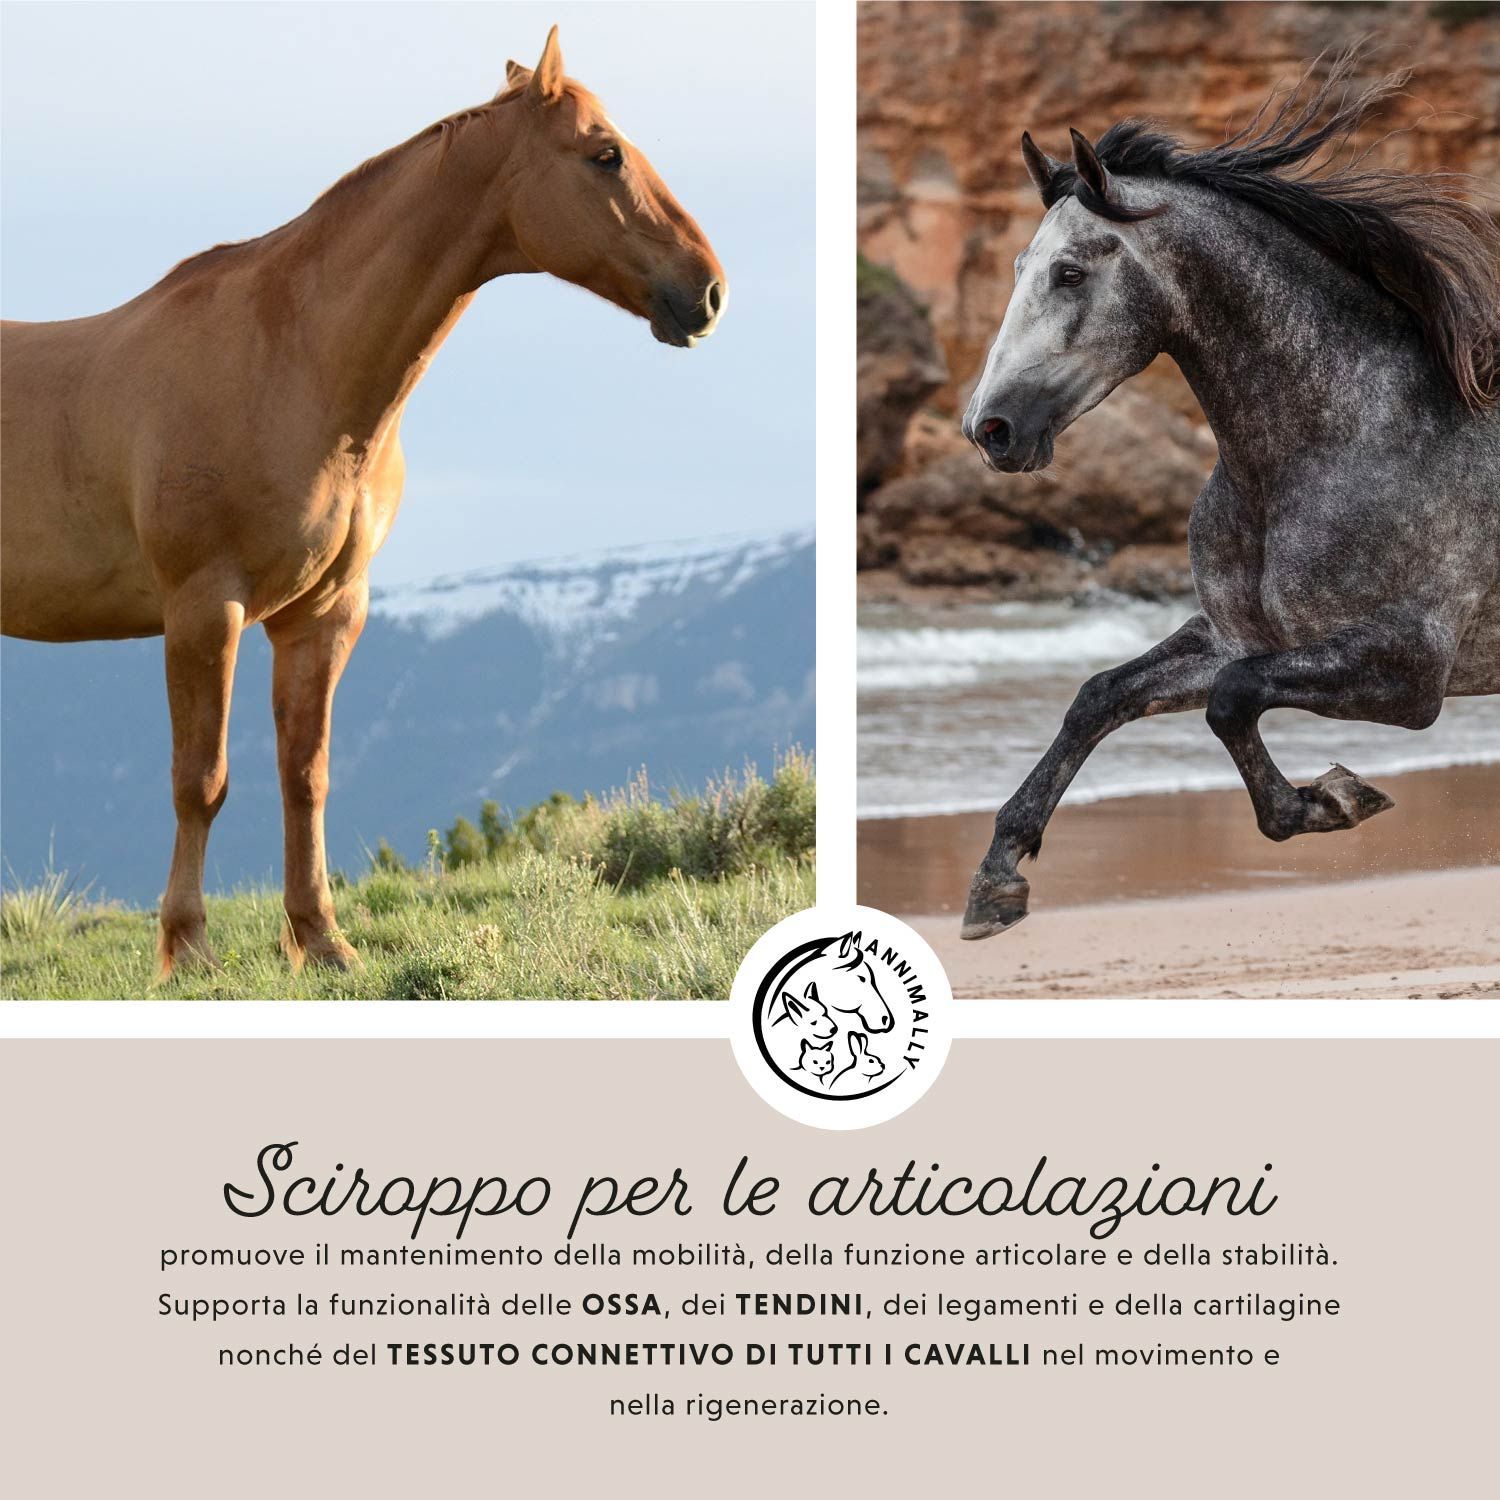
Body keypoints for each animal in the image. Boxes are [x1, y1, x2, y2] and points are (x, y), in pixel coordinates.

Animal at [0, 28, 725, 977]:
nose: (707, 291)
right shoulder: (204, 609)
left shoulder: (324, 614)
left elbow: (304, 777)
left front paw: (321, 940)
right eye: (604, 153)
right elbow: (201, 779)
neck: (292, 361)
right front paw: (188, 949)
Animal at [957, 52, 1500, 940]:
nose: (989, 428)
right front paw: (997, 878)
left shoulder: (1410, 669)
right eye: (1015, 271)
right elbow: (1100, 696)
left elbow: (1230, 701)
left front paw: (1334, 799)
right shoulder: (1239, 635)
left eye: (1070, 272)